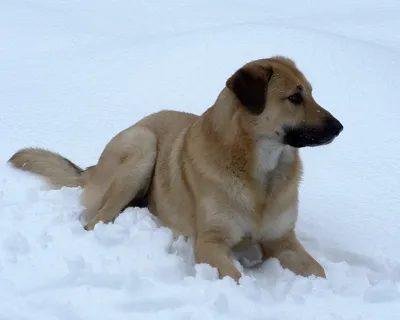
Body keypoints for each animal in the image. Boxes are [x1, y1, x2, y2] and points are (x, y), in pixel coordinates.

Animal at [7, 56, 342, 282]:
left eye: (311, 93)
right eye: (295, 97)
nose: (339, 127)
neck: (261, 176)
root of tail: (93, 167)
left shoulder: (283, 241)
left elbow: (319, 271)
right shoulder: (210, 243)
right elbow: (234, 277)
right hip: (142, 147)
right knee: (95, 222)